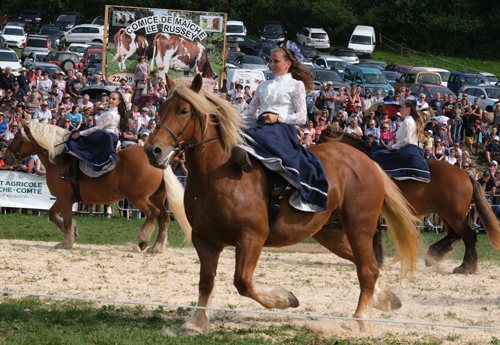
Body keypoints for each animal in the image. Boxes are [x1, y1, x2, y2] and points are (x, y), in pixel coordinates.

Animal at [3, 119, 191, 251]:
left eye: (18, 137)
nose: (5, 157)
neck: (58, 158)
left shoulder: (64, 199)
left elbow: (67, 220)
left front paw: (66, 243)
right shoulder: (64, 199)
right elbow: (52, 215)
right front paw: (73, 233)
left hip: (137, 198)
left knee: (153, 213)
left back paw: (143, 241)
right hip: (156, 198)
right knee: (164, 218)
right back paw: (156, 247)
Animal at [143, 73, 420, 334]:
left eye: (184, 110)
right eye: (160, 109)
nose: (152, 150)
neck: (216, 172)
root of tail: (368, 161)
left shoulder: (251, 238)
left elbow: (243, 282)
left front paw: (285, 299)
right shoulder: (204, 239)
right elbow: (206, 281)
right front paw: (197, 323)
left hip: (359, 227)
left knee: (367, 269)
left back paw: (360, 320)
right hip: (330, 232)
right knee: (365, 264)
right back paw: (384, 299)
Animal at [322, 130, 500, 274]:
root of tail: (466, 174)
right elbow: (376, 233)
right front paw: (378, 260)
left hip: (453, 214)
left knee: (468, 235)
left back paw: (465, 267)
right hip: (446, 214)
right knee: (455, 234)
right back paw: (433, 255)